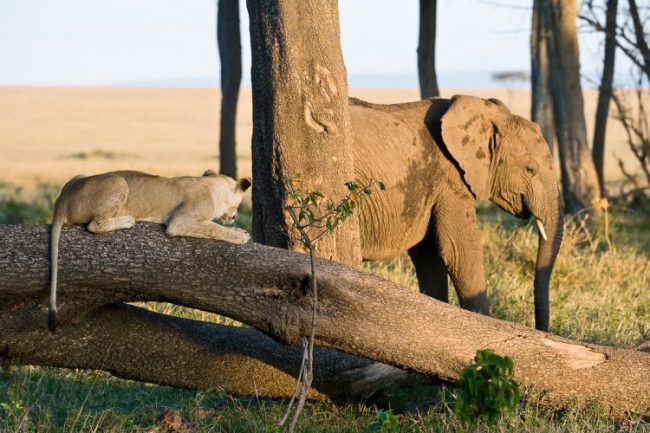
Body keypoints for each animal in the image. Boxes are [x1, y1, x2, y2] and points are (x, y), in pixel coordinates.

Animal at [350, 94, 560, 330]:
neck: (485, 111)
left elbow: (430, 255)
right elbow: (460, 250)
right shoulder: (450, 178)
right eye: (530, 169)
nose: (539, 328)